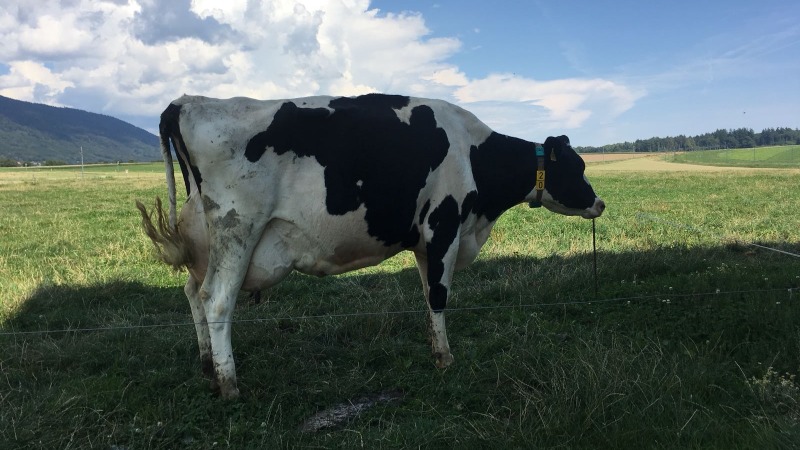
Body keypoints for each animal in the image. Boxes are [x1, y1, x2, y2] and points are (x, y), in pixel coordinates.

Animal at [136, 93, 605, 399]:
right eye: (578, 167)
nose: (600, 202)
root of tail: (187, 102)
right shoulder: (444, 226)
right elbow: (439, 295)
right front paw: (445, 359)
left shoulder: (425, 241)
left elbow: (427, 295)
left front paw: (435, 349)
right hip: (238, 228)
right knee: (216, 300)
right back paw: (230, 384)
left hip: (206, 240)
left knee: (193, 292)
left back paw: (208, 368)